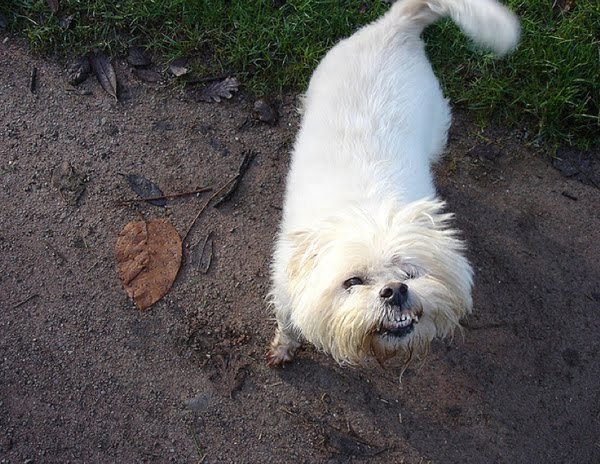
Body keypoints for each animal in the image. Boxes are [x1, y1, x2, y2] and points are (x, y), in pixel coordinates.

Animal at [268, 0, 520, 368]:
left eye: (410, 273)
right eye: (353, 281)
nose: (394, 291)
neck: (367, 209)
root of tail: (397, 28)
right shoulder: (287, 289)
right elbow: (287, 324)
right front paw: (283, 347)